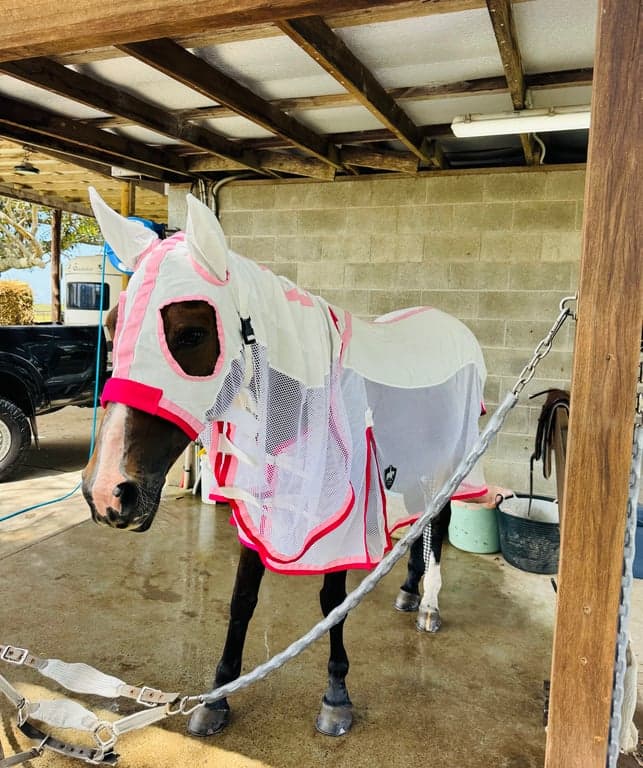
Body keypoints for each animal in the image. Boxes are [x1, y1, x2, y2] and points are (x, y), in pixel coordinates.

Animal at [81, 187, 490, 739]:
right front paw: (217, 697)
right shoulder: (263, 507)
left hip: (453, 462)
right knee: (423, 520)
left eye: (191, 334)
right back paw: (408, 591)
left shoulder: (339, 523)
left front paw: (336, 696)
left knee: (440, 522)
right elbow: (241, 602)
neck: (301, 403)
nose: (107, 491)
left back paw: (428, 605)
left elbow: (331, 604)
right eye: (111, 327)